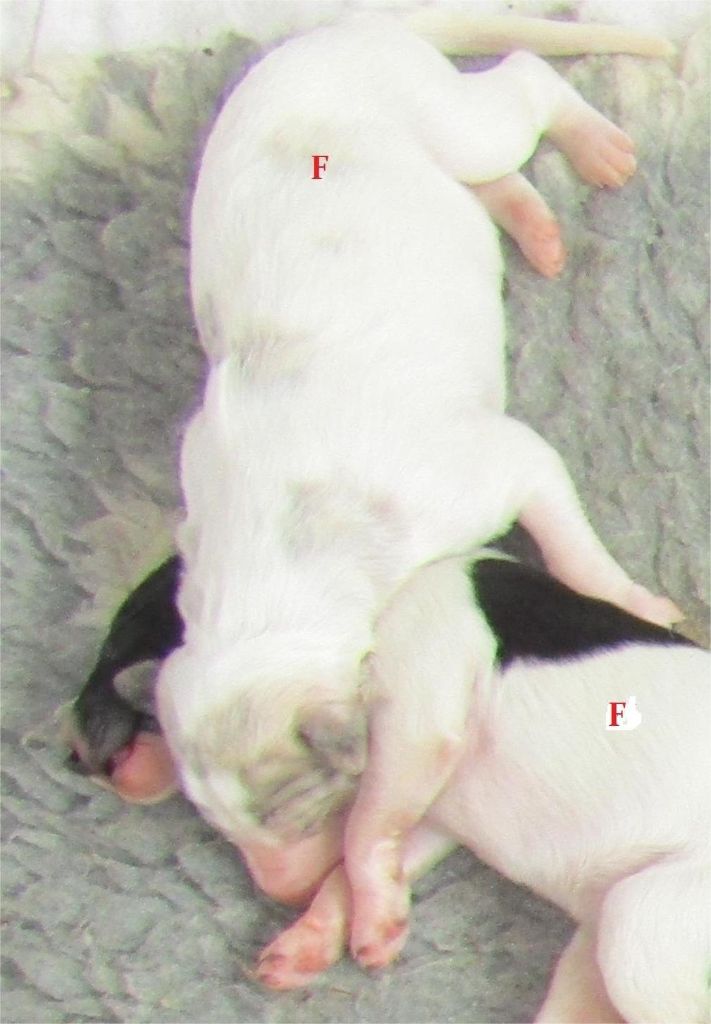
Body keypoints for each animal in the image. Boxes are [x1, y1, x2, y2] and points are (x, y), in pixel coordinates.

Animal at [65, 553, 709, 1021]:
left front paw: (372, 928)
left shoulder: (417, 719)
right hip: (592, 957)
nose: (73, 757)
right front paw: (312, 943)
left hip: (640, 924)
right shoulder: (433, 811)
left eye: (126, 630)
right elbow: (359, 859)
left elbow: (360, 831)